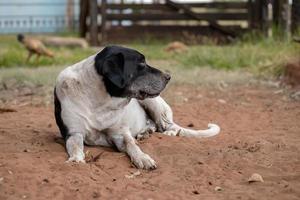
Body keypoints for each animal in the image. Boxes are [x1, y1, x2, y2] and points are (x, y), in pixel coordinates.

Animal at [54, 46, 219, 170]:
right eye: (141, 64)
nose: (168, 76)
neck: (101, 101)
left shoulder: (120, 134)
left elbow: (131, 145)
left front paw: (143, 158)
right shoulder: (73, 133)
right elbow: (75, 147)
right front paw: (76, 160)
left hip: (153, 103)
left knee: (167, 126)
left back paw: (168, 133)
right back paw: (145, 133)